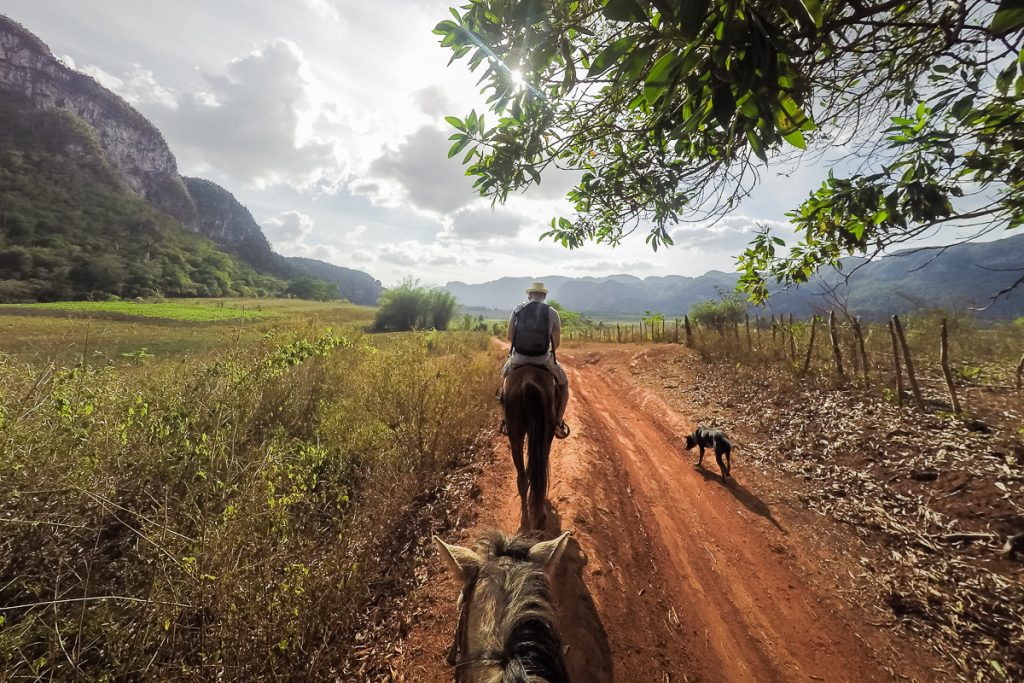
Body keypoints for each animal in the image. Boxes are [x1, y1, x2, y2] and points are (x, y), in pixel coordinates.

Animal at [499, 366, 557, 532]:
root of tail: (528, 383)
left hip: (515, 434)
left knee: (523, 478)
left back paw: (525, 521)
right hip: (545, 431)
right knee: (535, 472)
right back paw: (537, 517)